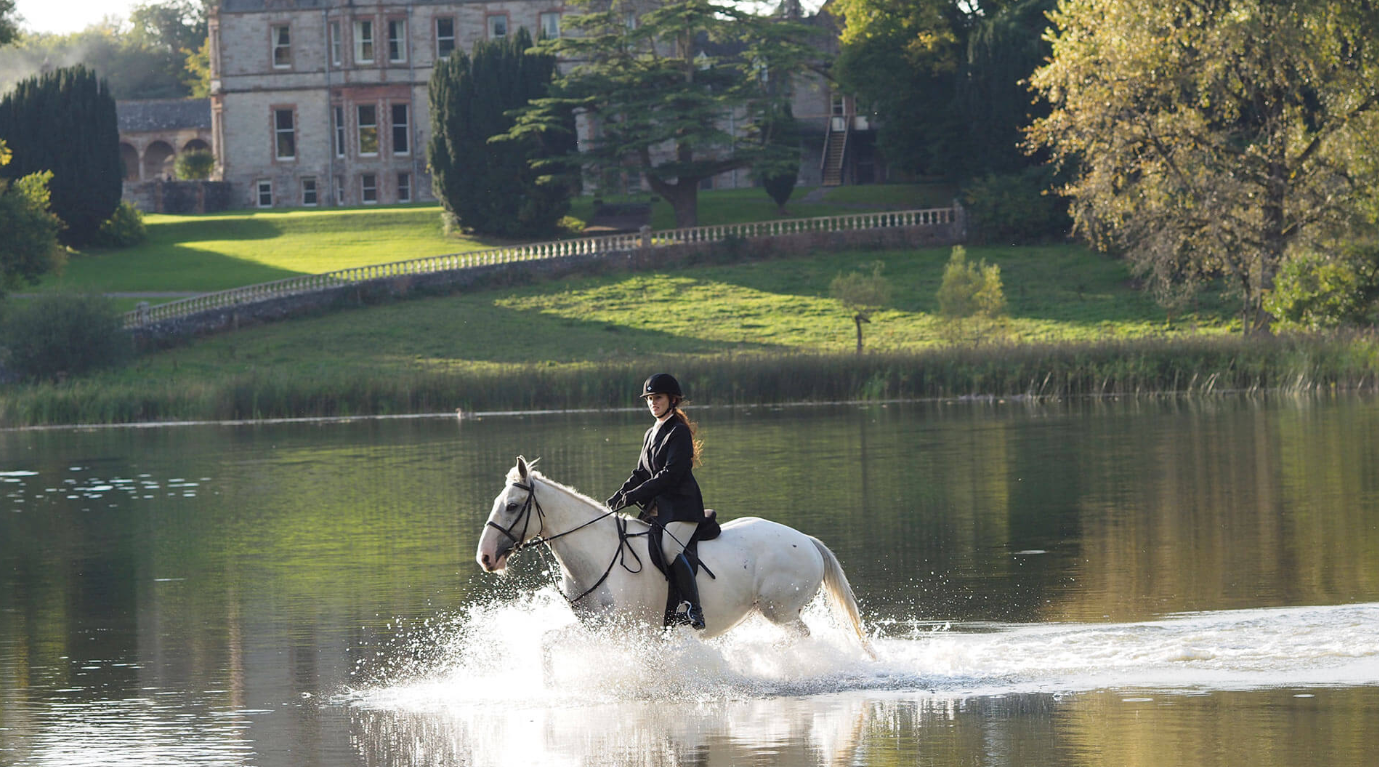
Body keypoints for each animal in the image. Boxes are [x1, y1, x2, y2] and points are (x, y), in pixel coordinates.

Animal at [475, 457, 874, 657]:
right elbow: (548, 643)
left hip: (780, 610)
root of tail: (807, 541)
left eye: (512, 506)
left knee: (801, 637)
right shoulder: (598, 628)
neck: (596, 557)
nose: (486, 557)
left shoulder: (628, 631)